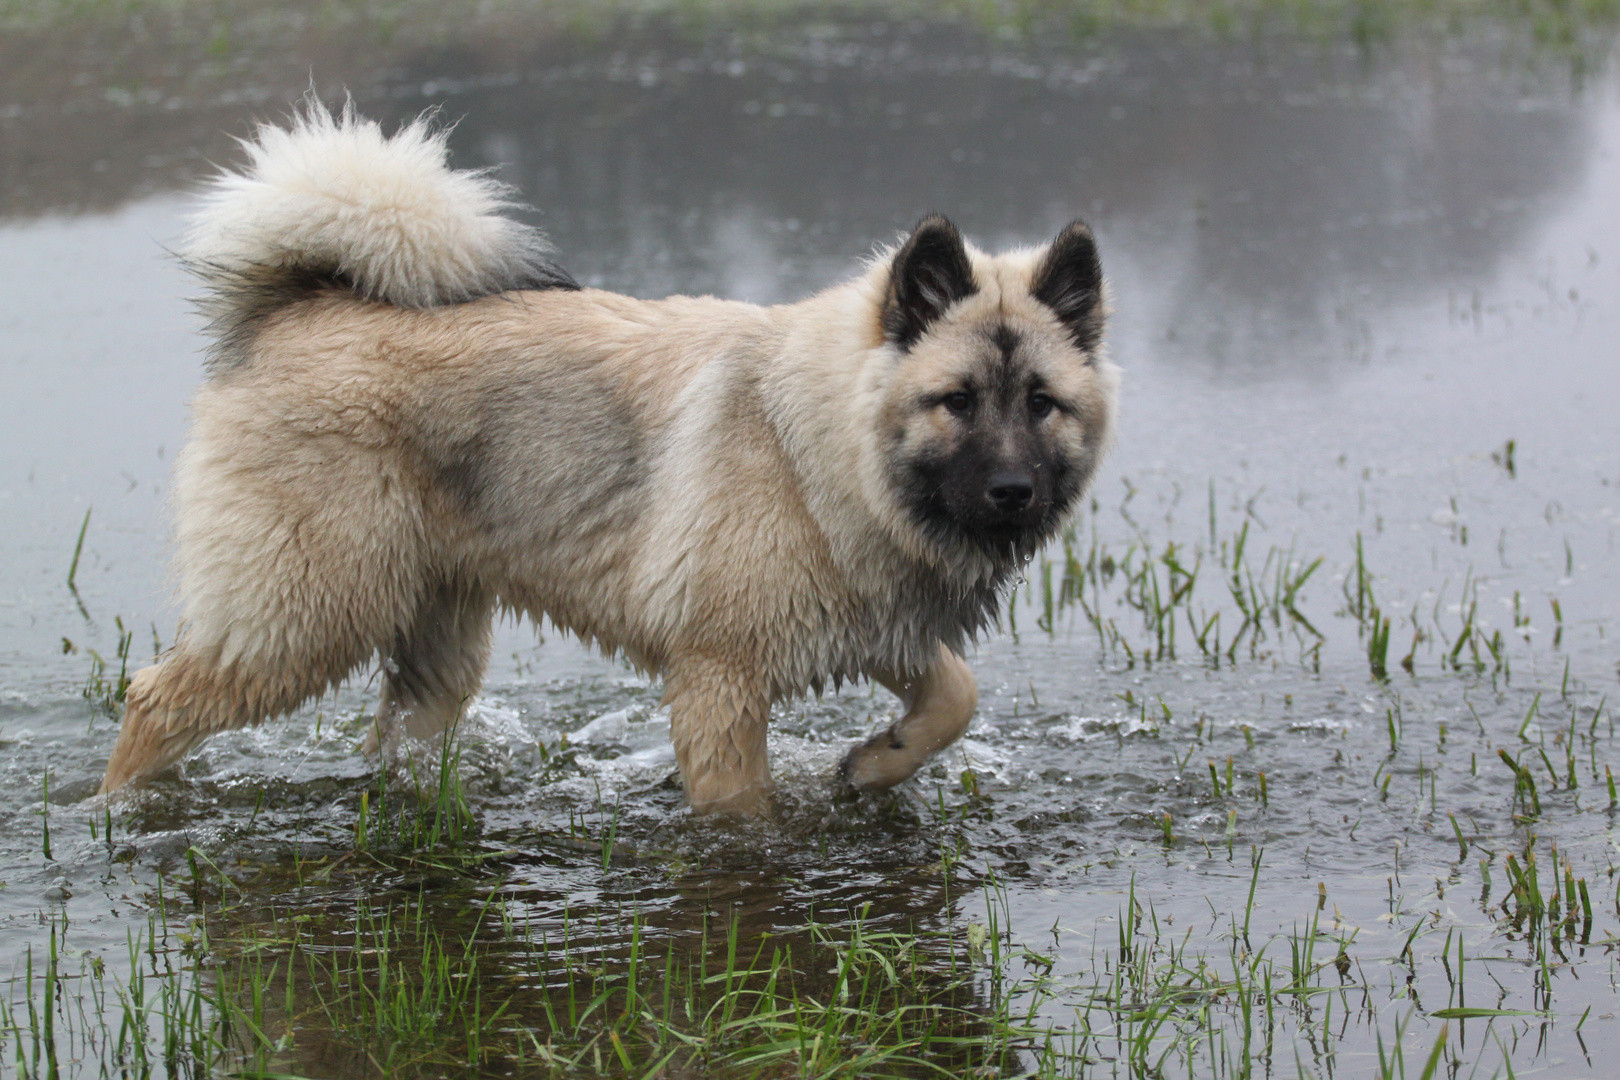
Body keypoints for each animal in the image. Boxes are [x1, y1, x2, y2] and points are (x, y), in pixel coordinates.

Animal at [98, 103, 1114, 809]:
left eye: (1042, 404)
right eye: (957, 402)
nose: (1014, 491)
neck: (812, 443)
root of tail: (299, 307)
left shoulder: (877, 620)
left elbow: (958, 696)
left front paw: (873, 765)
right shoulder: (718, 678)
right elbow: (743, 809)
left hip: (431, 648)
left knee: (392, 734)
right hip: (300, 617)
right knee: (152, 700)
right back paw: (118, 809)